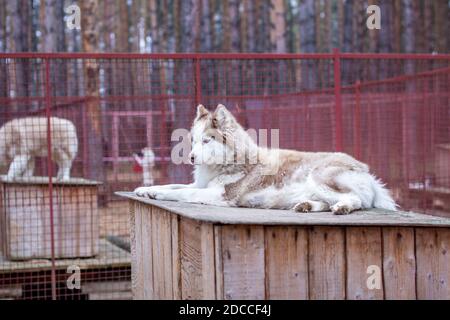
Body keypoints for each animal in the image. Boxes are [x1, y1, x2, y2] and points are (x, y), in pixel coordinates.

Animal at [134, 105, 398, 215]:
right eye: (195, 140)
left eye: (207, 141)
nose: (190, 157)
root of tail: (366, 170)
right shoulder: (201, 185)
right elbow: (173, 185)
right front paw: (146, 190)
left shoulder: (220, 195)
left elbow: (183, 192)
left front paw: (158, 194)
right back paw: (306, 206)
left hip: (318, 177)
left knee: (356, 200)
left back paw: (341, 208)